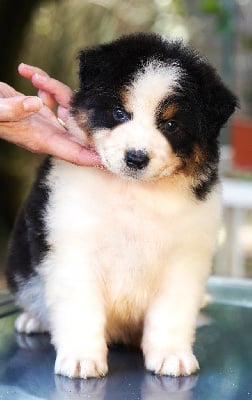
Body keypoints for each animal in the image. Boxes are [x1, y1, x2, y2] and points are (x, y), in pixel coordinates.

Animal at [6, 33, 237, 378]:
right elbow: (80, 308)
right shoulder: (73, 246)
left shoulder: (184, 257)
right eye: (118, 112)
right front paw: (81, 358)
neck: (132, 191)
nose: (136, 158)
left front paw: (171, 355)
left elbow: (172, 311)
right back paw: (33, 318)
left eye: (171, 125)